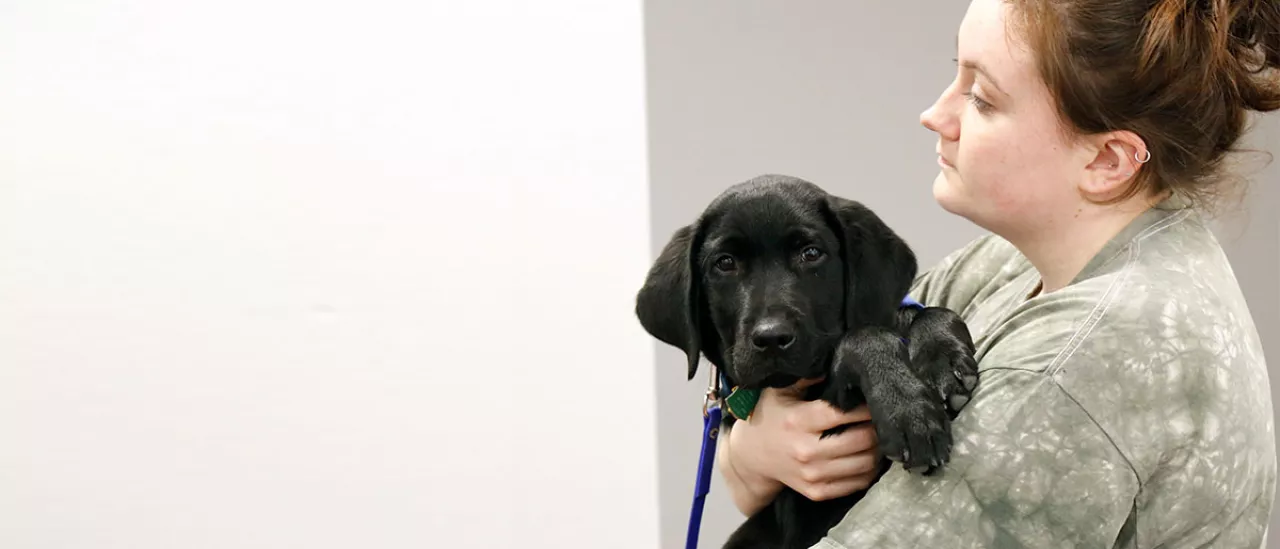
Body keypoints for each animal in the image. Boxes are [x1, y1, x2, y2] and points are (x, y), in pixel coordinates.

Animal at [634, 175, 972, 547]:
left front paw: (943, 362)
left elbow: (924, 313)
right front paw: (909, 413)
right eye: (724, 262)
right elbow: (862, 336)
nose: (771, 337)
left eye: (810, 254)